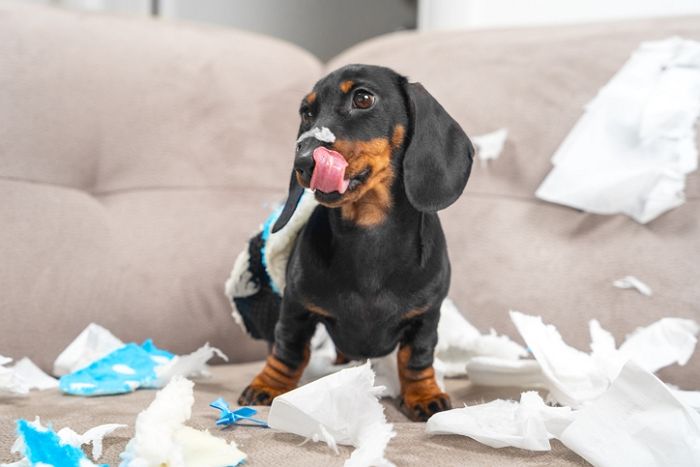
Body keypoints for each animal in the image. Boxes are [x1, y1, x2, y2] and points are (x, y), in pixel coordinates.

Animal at [237, 64, 476, 422]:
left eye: (363, 98)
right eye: (307, 112)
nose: (303, 162)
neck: (368, 232)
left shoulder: (426, 317)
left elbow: (416, 358)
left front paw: (424, 395)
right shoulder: (296, 309)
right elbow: (288, 349)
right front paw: (269, 384)